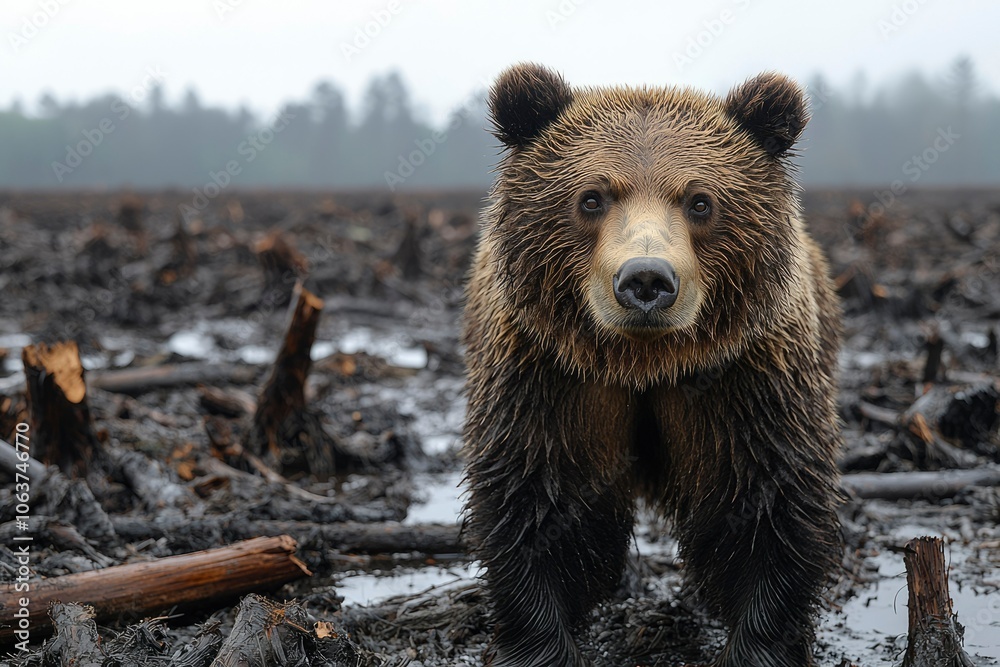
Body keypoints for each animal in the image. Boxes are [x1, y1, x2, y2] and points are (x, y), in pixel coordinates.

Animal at [461, 63, 843, 667]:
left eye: (701, 201)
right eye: (592, 198)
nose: (645, 279)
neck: (644, 365)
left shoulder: (745, 381)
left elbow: (768, 503)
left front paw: (758, 645)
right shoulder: (551, 377)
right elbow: (537, 497)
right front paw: (541, 643)